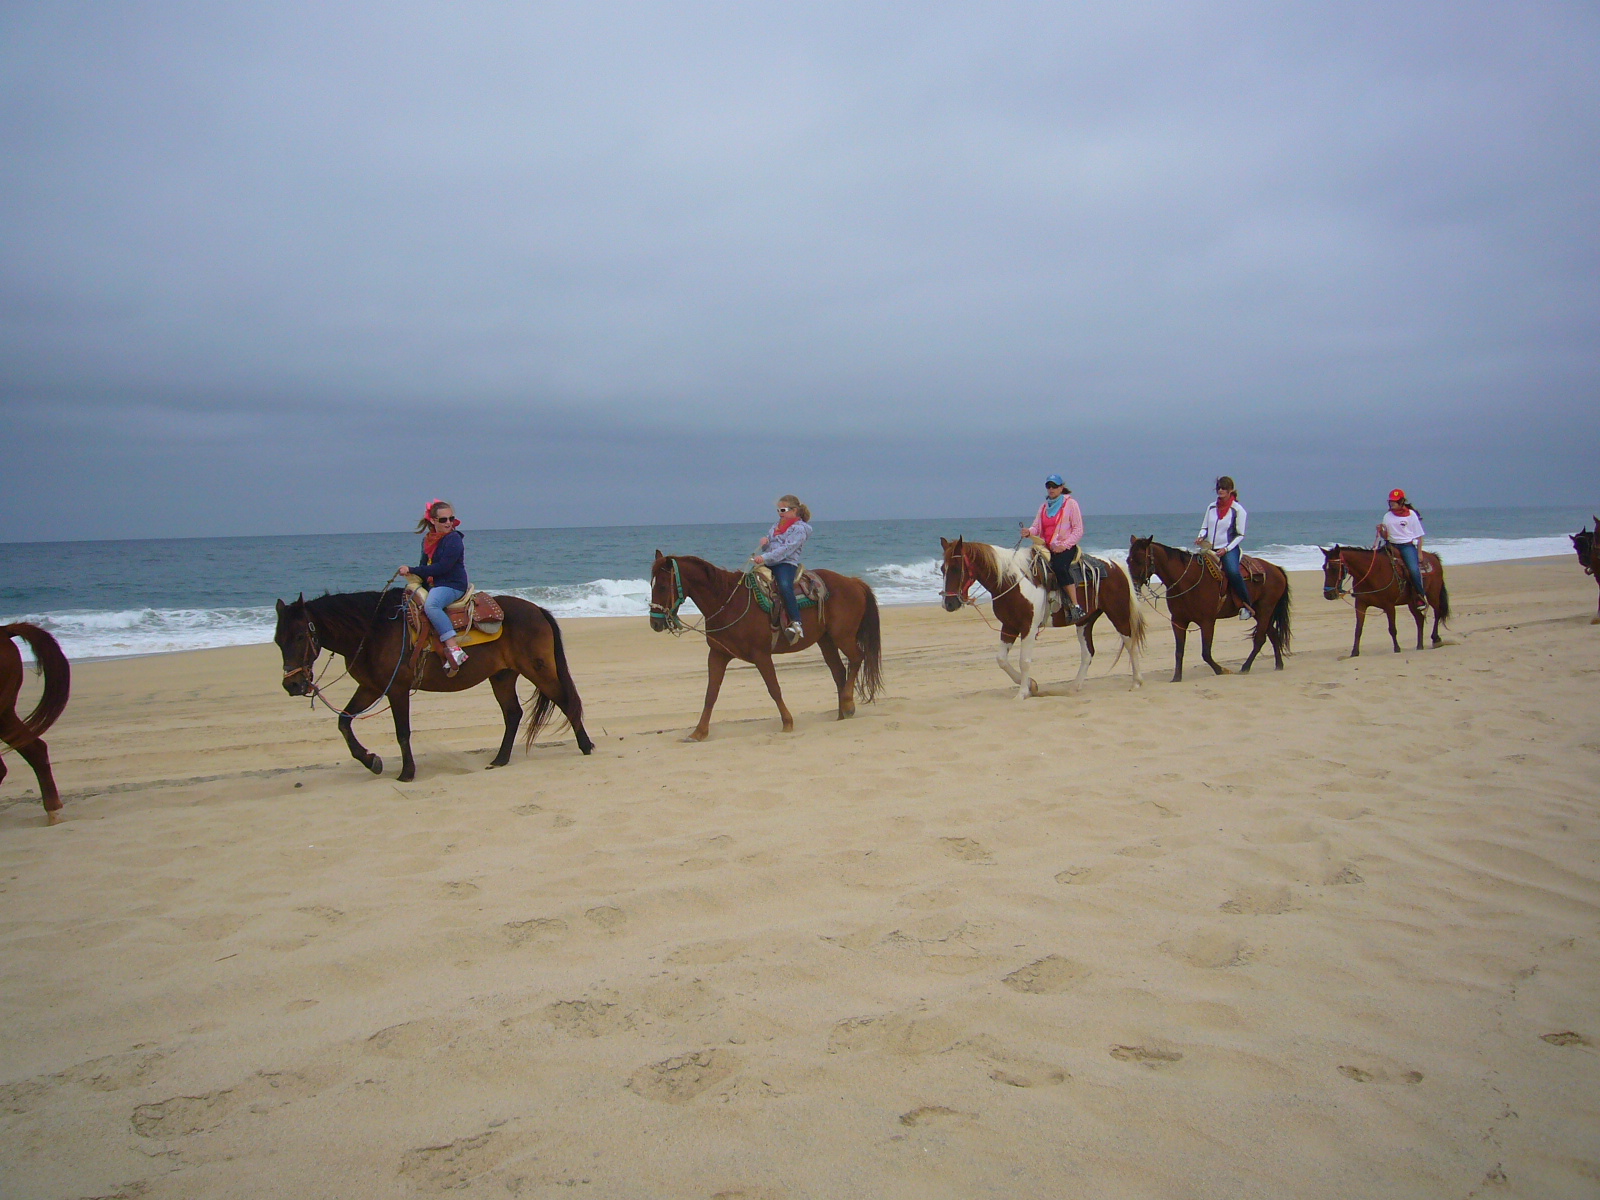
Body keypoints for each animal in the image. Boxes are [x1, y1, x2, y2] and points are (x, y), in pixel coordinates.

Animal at [274, 589, 592, 782]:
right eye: (278, 640)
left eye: (300, 636)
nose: (293, 684)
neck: (372, 631)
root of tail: (537, 609)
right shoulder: (371, 688)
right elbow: (343, 722)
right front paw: (371, 761)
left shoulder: (396, 690)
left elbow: (402, 732)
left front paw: (406, 772)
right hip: (502, 676)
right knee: (513, 714)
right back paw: (500, 759)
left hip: (538, 670)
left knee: (566, 701)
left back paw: (586, 746)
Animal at [648, 552, 882, 740]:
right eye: (651, 585)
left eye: (662, 586)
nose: (655, 623)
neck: (727, 602)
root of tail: (853, 582)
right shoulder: (717, 654)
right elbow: (711, 694)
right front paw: (698, 732)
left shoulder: (761, 655)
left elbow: (774, 689)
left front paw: (787, 723)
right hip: (826, 640)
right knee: (839, 671)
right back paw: (842, 713)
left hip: (843, 636)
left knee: (856, 658)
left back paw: (848, 704)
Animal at [939, 537, 1144, 698]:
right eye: (942, 568)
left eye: (956, 569)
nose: (949, 604)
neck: (1011, 581)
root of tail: (1115, 565)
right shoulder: (1009, 626)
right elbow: (1001, 660)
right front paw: (1031, 685)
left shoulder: (1028, 628)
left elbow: (1024, 661)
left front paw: (1022, 692)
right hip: (1084, 622)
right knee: (1088, 652)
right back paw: (1075, 687)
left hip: (1118, 614)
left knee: (1130, 642)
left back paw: (1136, 682)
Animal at [1127, 536, 1292, 682]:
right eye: (1128, 560)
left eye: (1139, 559)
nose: (1133, 587)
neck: (1187, 581)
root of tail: (1276, 569)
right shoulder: (1178, 621)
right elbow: (1179, 651)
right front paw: (1176, 677)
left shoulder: (1207, 622)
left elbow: (1205, 653)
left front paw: (1222, 670)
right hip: (1259, 612)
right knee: (1273, 634)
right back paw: (1279, 665)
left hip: (1265, 609)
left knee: (1260, 639)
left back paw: (1245, 667)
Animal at [1319, 544, 1449, 656]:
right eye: (1324, 568)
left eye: (1335, 568)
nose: (1328, 594)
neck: (1371, 573)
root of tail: (1433, 556)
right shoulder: (1360, 604)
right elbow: (1358, 629)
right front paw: (1354, 652)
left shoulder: (1389, 605)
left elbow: (1392, 628)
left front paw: (1397, 649)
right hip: (1412, 602)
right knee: (1420, 619)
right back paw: (1419, 646)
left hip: (1433, 595)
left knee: (1437, 613)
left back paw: (1436, 639)